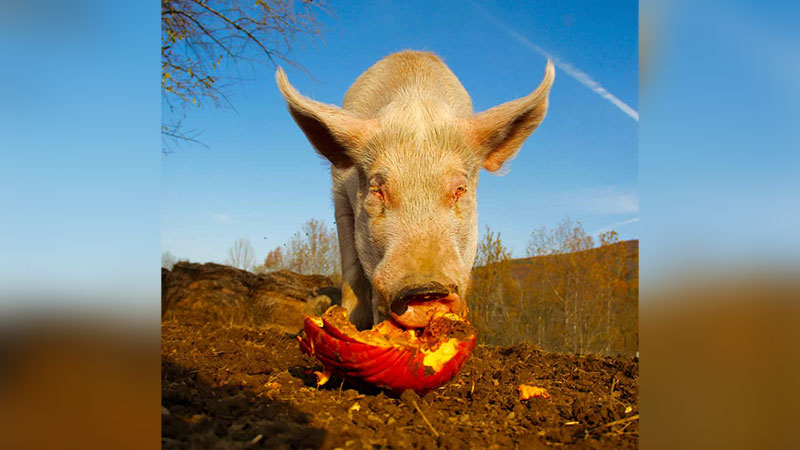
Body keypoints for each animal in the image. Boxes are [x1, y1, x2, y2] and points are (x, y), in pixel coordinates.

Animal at [276, 51, 554, 330]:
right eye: (377, 190)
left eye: (460, 189)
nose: (424, 290)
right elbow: (352, 268)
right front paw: (352, 325)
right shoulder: (340, 196)